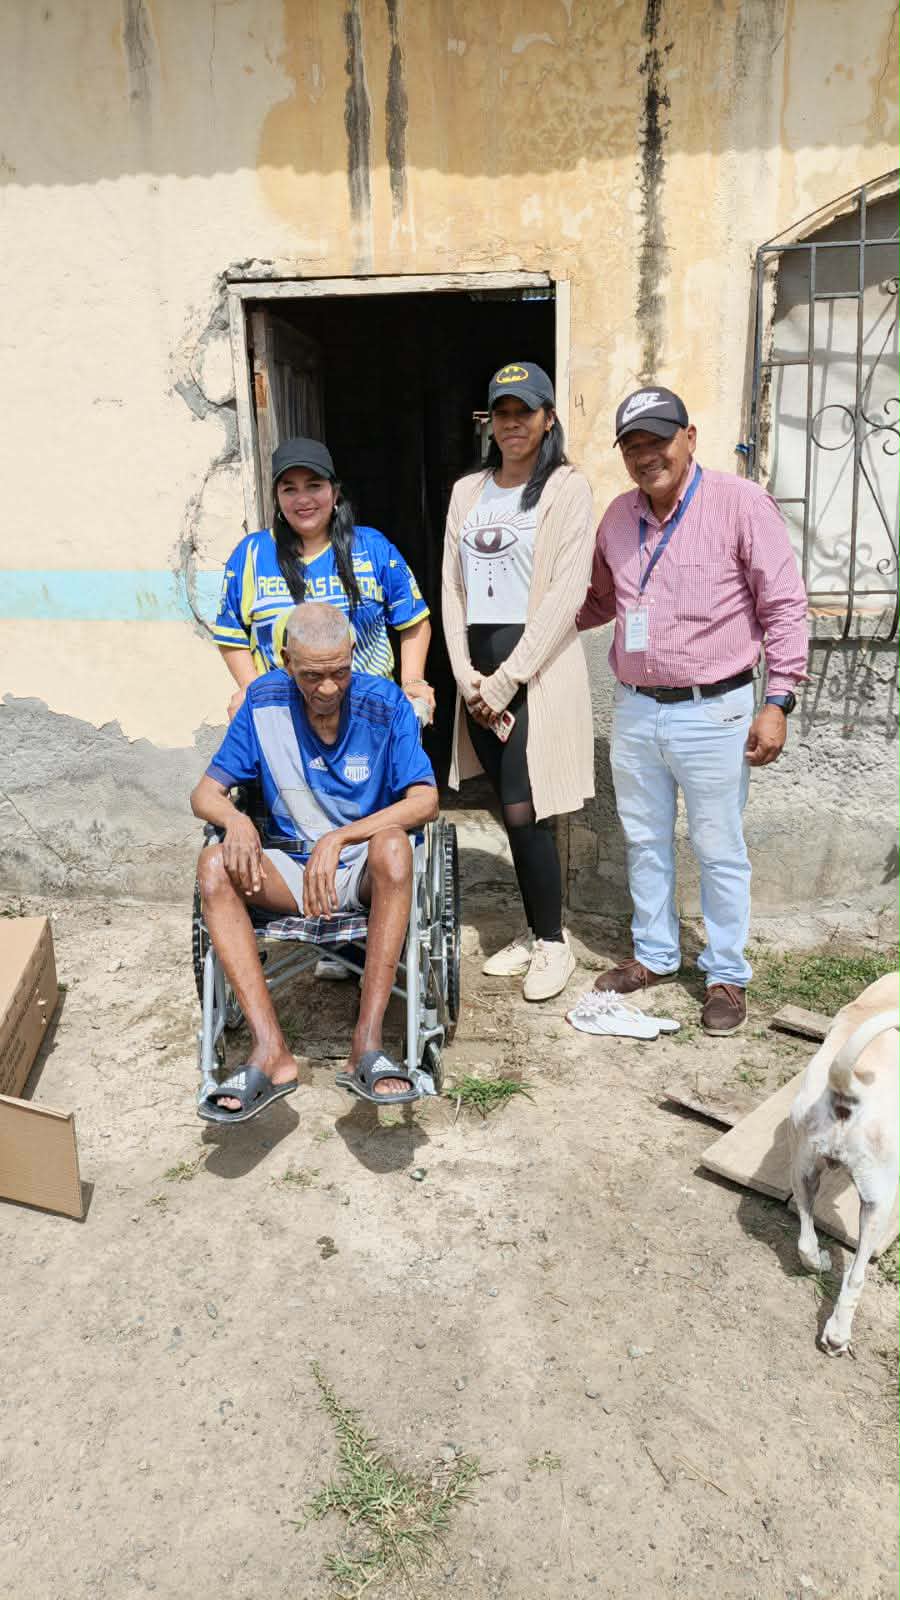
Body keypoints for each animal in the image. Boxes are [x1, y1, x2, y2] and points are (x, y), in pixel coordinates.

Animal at [789, 971, 900, 1355]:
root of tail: (847, 1092)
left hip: (803, 1170)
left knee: (805, 1241)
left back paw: (819, 1262)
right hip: (877, 1203)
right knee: (856, 1276)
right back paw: (837, 1335)